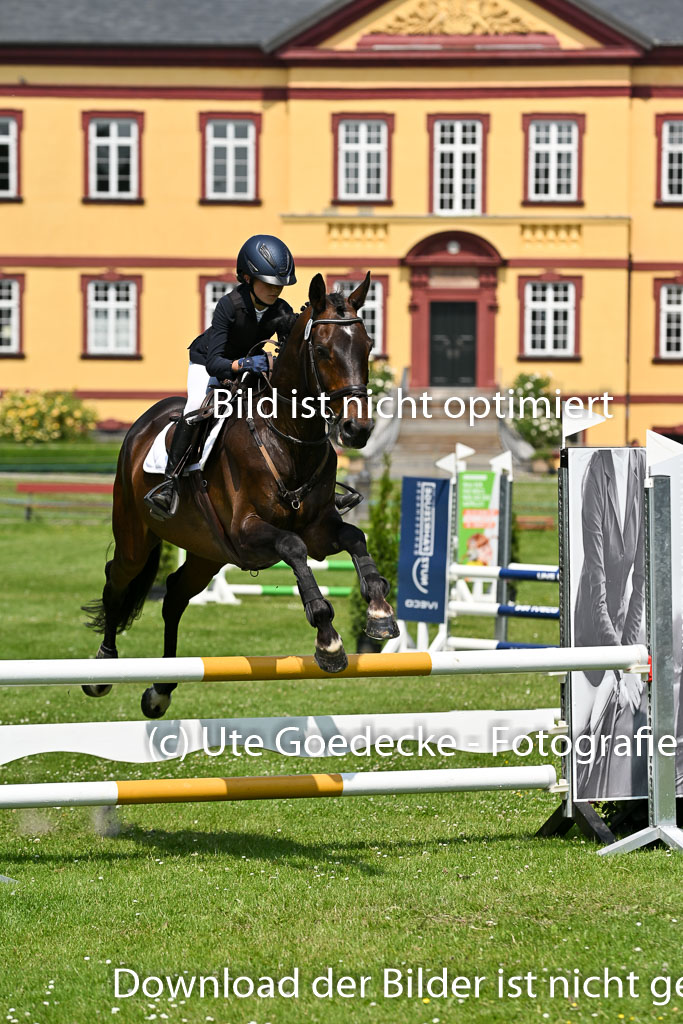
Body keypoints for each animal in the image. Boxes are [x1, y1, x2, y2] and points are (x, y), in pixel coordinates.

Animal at [83, 272, 399, 719]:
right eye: (322, 350)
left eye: (368, 345)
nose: (357, 430)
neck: (288, 438)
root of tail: (142, 425)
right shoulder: (247, 531)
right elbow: (293, 546)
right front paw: (329, 641)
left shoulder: (321, 530)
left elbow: (354, 537)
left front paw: (379, 613)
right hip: (136, 534)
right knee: (118, 579)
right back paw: (102, 668)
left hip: (207, 551)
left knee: (174, 595)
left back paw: (160, 689)